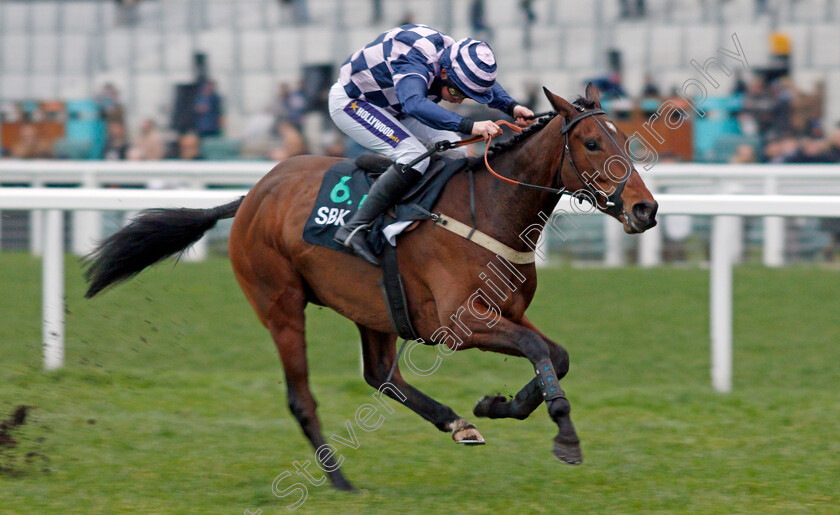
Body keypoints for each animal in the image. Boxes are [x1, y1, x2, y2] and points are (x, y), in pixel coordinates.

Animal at [83, 84, 656, 492]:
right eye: (591, 143)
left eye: (625, 141)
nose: (645, 209)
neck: (489, 211)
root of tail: (251, 195)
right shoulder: (457, 324)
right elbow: (539, 350)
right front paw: (565, 435)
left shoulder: (503, 312)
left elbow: (554, 355)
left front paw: (495, 406)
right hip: (281, 305)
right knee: (301, 397)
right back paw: (338, 479)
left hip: (372, 307)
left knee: (381, 374)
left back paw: (454, 423)